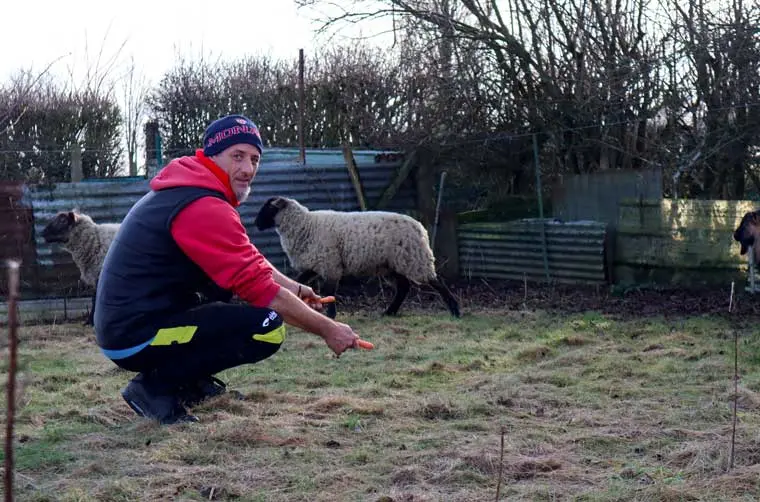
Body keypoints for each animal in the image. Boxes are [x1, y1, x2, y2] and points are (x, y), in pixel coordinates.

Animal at [253, 196, 461, 319]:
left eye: (269, 208)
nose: (256, 224)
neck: (305, 225)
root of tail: (420, 227)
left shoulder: (330, 264)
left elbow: (330, 291)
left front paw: (331, 316)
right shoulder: (315, 263)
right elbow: (300, 280)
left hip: (414, 259)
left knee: (436, 282)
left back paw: (455, 310)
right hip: (394, 263)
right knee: (403, 287)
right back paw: (389, 312)